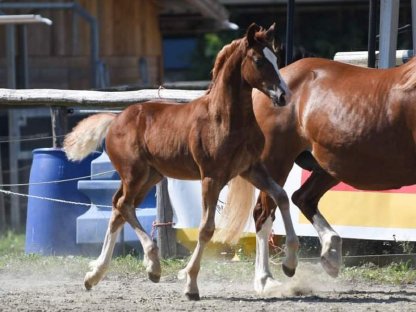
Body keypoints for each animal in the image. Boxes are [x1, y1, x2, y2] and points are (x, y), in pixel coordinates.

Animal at [63, 24, 300, 300]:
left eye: (276, 59)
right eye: (259, 61)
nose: (283, 96)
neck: (224, 119)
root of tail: (114, 120)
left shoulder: (251, 169)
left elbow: (282, 196)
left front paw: (290, 264)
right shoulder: (212, 177)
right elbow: (206, 228)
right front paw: (190, 283)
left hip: (150, 176)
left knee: (118, 208)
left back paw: (97, 274)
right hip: (134, 174)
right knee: (123, 205)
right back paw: (151, 265)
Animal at [218, 56, 416, 294]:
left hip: (330, 166)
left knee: (302, 198)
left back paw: (330, 253)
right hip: (275, 162)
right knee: (264, 213)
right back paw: (267, 279)